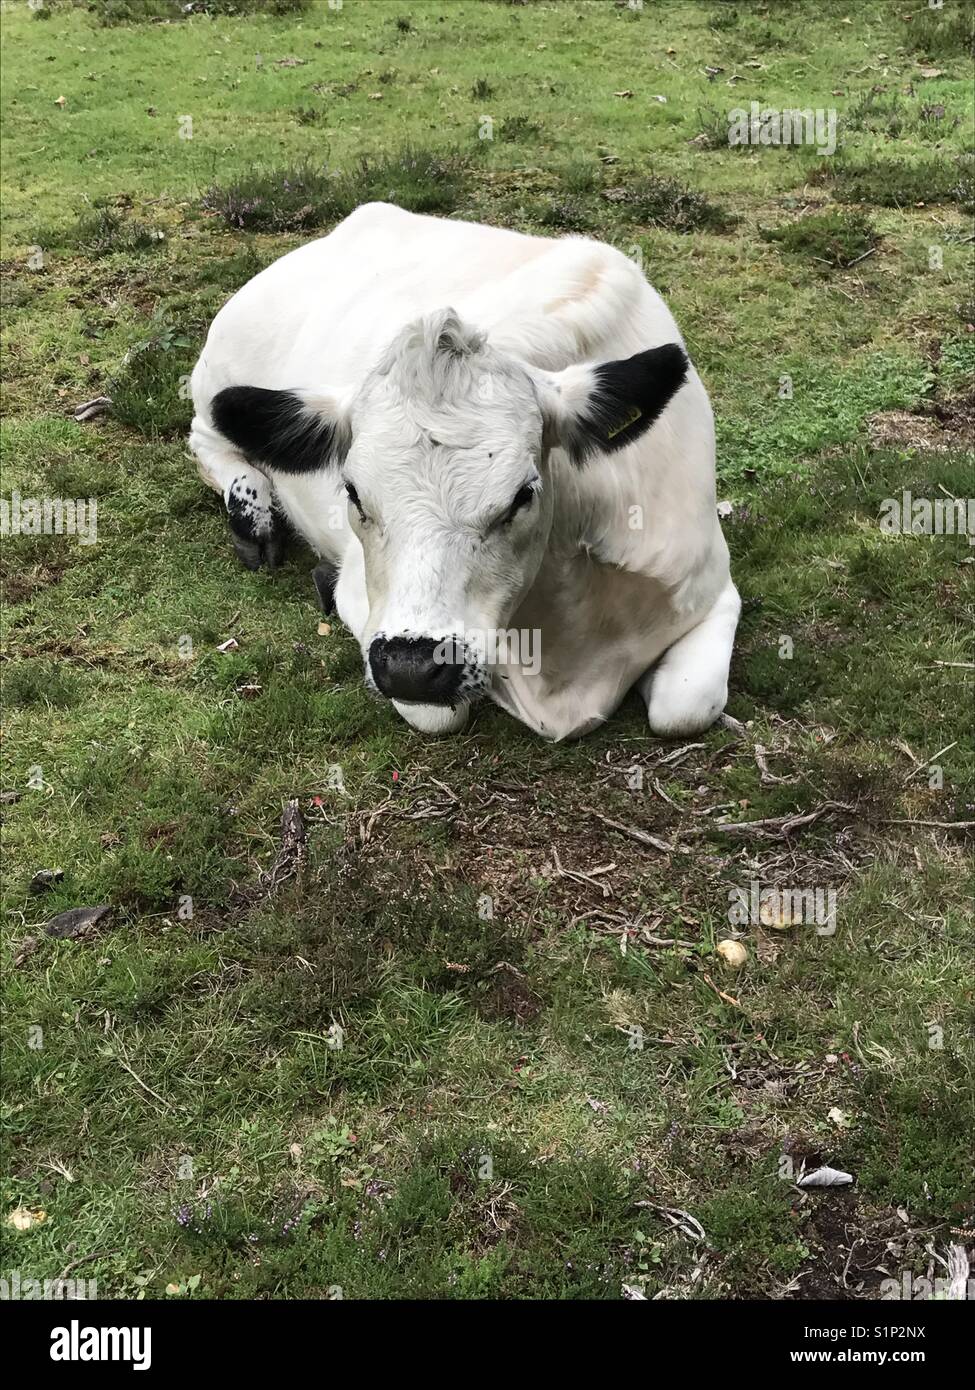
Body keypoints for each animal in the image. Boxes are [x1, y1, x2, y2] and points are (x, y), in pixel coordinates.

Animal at [189, 202, 740, 742]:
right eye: (353, 493)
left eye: (523, 495)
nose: (411, 666)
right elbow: (439, 715)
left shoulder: (713, 588)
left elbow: (685, 707)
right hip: (216, 378)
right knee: (206, 438)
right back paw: (254, 519)